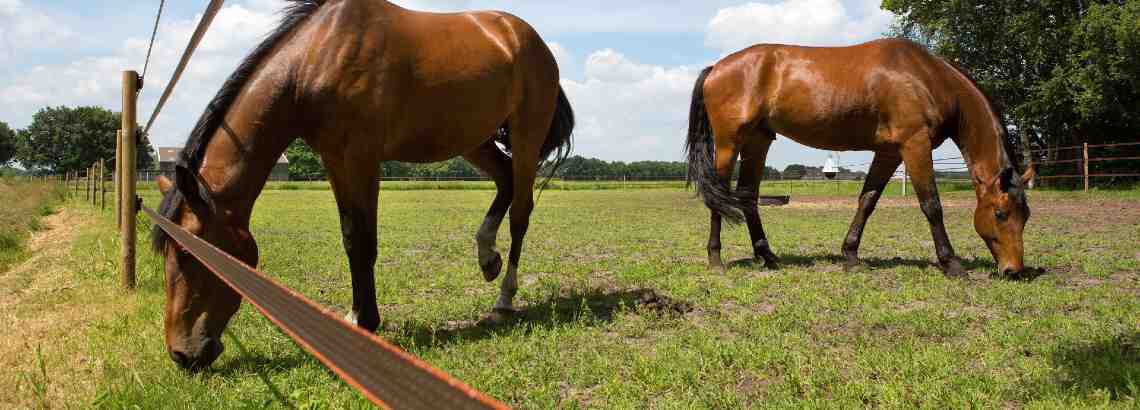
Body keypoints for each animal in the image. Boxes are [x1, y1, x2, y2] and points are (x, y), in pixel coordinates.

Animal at [151, 0, 573, 370]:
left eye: (187, 253)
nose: (181, 354)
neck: (316, 59)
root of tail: (526, 38)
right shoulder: (335, 161)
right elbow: (350, 236)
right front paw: (357, 316)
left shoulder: (362, 159)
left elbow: (364, 241)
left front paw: (366, 321)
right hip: (474, 139)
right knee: (504, 183)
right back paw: (487, 257)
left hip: (525, 135)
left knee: (521, 212)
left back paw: (504, 297)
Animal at [685, 38, 1033, 278]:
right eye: (1000, 213)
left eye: (1026, 215)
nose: (1014, 270)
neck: (926, 77)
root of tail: (716, 68)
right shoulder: (915, 145)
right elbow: (932, 205)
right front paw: (951, 263)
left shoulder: (889, 152)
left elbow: (867, 201)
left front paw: (851, 256)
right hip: (729, 143)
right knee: (717, 197)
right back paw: (715, 259)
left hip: (758, 141)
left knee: (747, 196)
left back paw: (768, 257)